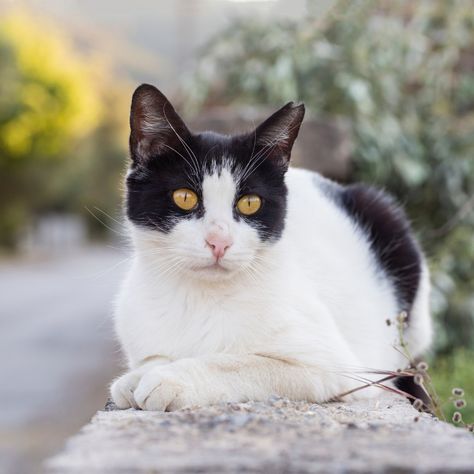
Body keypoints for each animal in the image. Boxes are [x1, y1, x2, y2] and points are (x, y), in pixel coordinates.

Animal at [109, 84, 432, 412]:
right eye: (184, 197)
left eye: (250, 203)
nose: (219, 241)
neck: (199, 299)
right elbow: (151, 359)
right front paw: (136, 377)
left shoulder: (334, 367)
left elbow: (237, 363)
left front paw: (171, 378)